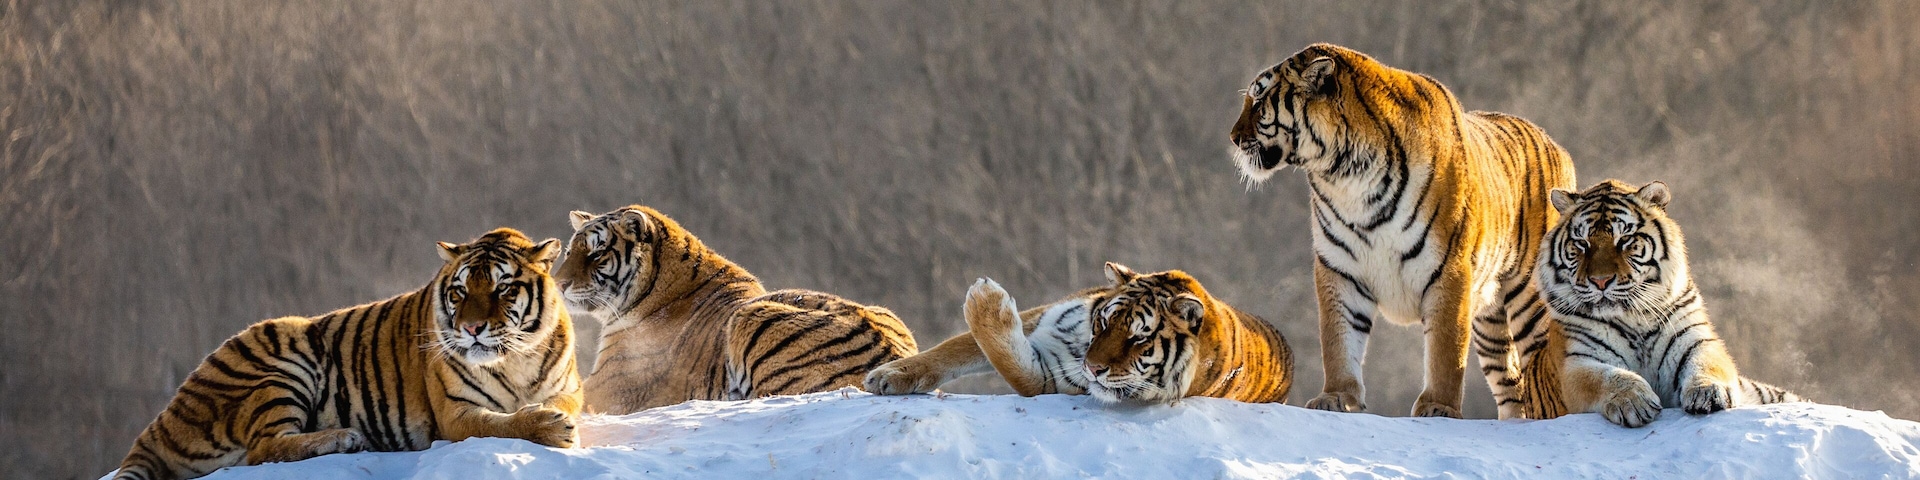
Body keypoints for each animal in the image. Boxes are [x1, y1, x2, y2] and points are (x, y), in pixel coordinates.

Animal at [112, 228, 582, 480]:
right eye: (460, 291)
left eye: (503, 288)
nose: (470, 329)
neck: (514, 359)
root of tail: (163, 420)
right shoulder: (456, 413)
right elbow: (498, 424)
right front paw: (548, 426)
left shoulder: (570, 389)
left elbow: (556, 403)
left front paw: (551, 416)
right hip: (285, 352)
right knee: (263, 448)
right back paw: (344, 438)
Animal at [865, 262, 1292, 405]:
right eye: (1104, 322)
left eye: (1139, 338)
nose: (1093, 368)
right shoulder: (1045, 316)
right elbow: (955, 348)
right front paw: (889, 375)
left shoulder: (1050, 378)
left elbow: (1013, 367)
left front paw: (985, 300)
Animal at [1229, 43, 1577, 418]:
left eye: (1259, 102)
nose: (1233, 138)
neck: (1345, 175)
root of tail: (1559, 147)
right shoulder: (1339, 268)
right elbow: (1339, 339)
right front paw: (1336, 396)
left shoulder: (1449, 270)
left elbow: (1445, 350)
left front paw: (1438, 407)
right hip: (1489, 320)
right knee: (1511, 383)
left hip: (1530, 299)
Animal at [1521, 179, 1802, 427]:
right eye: (1582, 243)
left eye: (1625, 240)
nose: (1601, 281)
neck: (1632, 318)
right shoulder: (1576, 362)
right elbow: (1607, 377)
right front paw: (1633, 402)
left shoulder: (1695, 340)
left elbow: (1706, 363)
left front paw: (1709, 393)